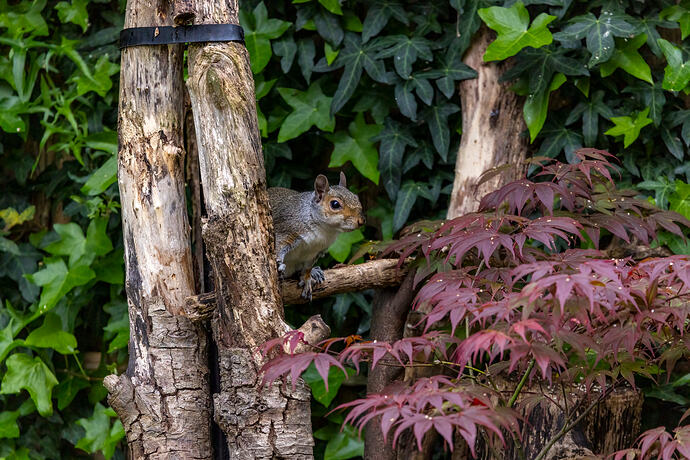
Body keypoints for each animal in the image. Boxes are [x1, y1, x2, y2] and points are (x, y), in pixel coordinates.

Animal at [268, 172, 365, 300]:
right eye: (335, 204)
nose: (362, 221)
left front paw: (307, 278)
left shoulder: (315, 252)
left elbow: (307, 268)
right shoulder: (288, 229)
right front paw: (278, 263)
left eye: (356, 198)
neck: (324, 230)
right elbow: (279, 245)